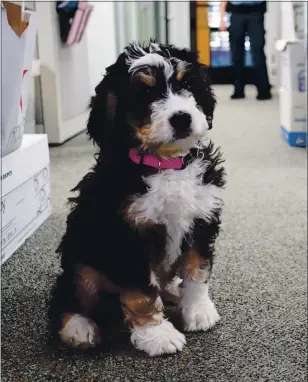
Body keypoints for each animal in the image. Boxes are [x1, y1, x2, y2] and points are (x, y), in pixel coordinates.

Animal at [48, 42, 226, 358]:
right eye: (145, 93)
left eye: (186, 84)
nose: (182, 118)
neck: (166, 163)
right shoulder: (127, 234)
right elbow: (142, 292)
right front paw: (158, 336)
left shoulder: (202, 217)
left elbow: (196, 267)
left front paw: (198, 310)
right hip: (81, 256)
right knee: (68, 293)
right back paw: (78, 327)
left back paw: (172, 289)